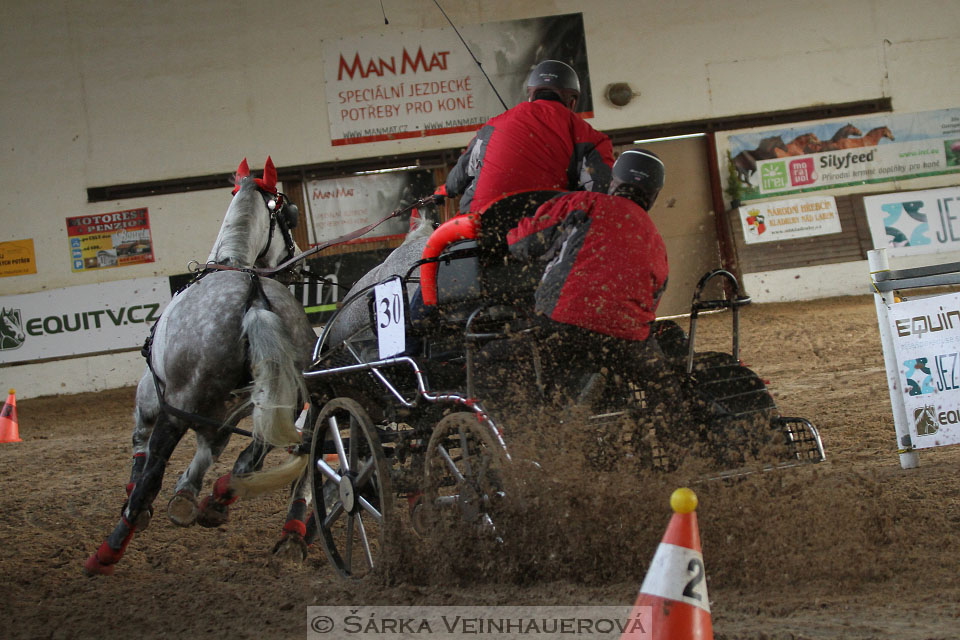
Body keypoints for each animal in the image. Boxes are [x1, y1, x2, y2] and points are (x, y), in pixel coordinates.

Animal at [85, 159, 316, 576]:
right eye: (290, 217)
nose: (301, 259)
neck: (233, 264)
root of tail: (254, 298)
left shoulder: (153, 398)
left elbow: (142, 447)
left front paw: (152, 500)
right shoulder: (223, 413)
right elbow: (213, 450)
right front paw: (189, 496)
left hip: (176, 406)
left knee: (151, 474)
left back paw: (108, 551)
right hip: (285, 399)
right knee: (254, 452)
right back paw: (219, 502)